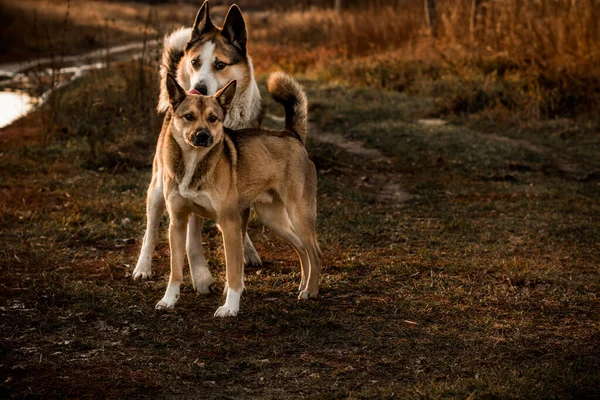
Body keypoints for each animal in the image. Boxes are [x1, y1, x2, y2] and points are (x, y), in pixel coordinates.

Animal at [134, 0, 262, 288]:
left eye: (220, 64)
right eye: (195, 62)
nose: (199, 89)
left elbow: (239, 226)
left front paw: (244, 254)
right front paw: (200, 273)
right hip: (159, 186)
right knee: (151, 229)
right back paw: (144, 267)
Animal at [157, 71, 322, 316]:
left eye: (213, 118)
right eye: (188, 116)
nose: (203, 135)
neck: (194, 162)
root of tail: (291, 135)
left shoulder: (229, 223)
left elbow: (234, 273)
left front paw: (230, 308)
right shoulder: (177, 223)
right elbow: (175, 270)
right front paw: (168, 300)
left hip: (299, 215)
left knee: (315, 253)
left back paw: (311, 290)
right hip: (273, 220)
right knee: (302, 249)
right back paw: (304, 284)